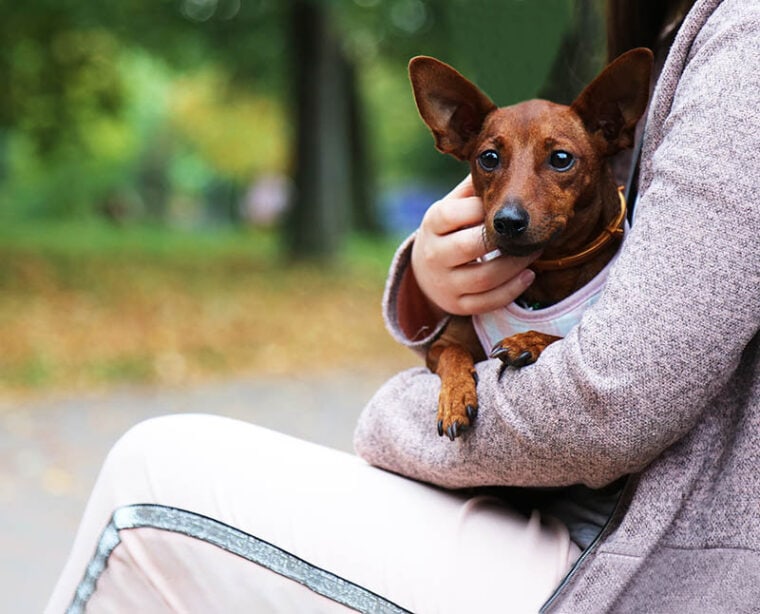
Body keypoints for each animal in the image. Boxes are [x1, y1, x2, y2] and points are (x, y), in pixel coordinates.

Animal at [410, 49, 652, 442]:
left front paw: (528, 340)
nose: (507, 221)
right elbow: (453, 354)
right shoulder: (442, 345)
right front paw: (454, 398)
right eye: (488, 158)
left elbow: (559, 336)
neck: (547, 275)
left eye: (561, 158)